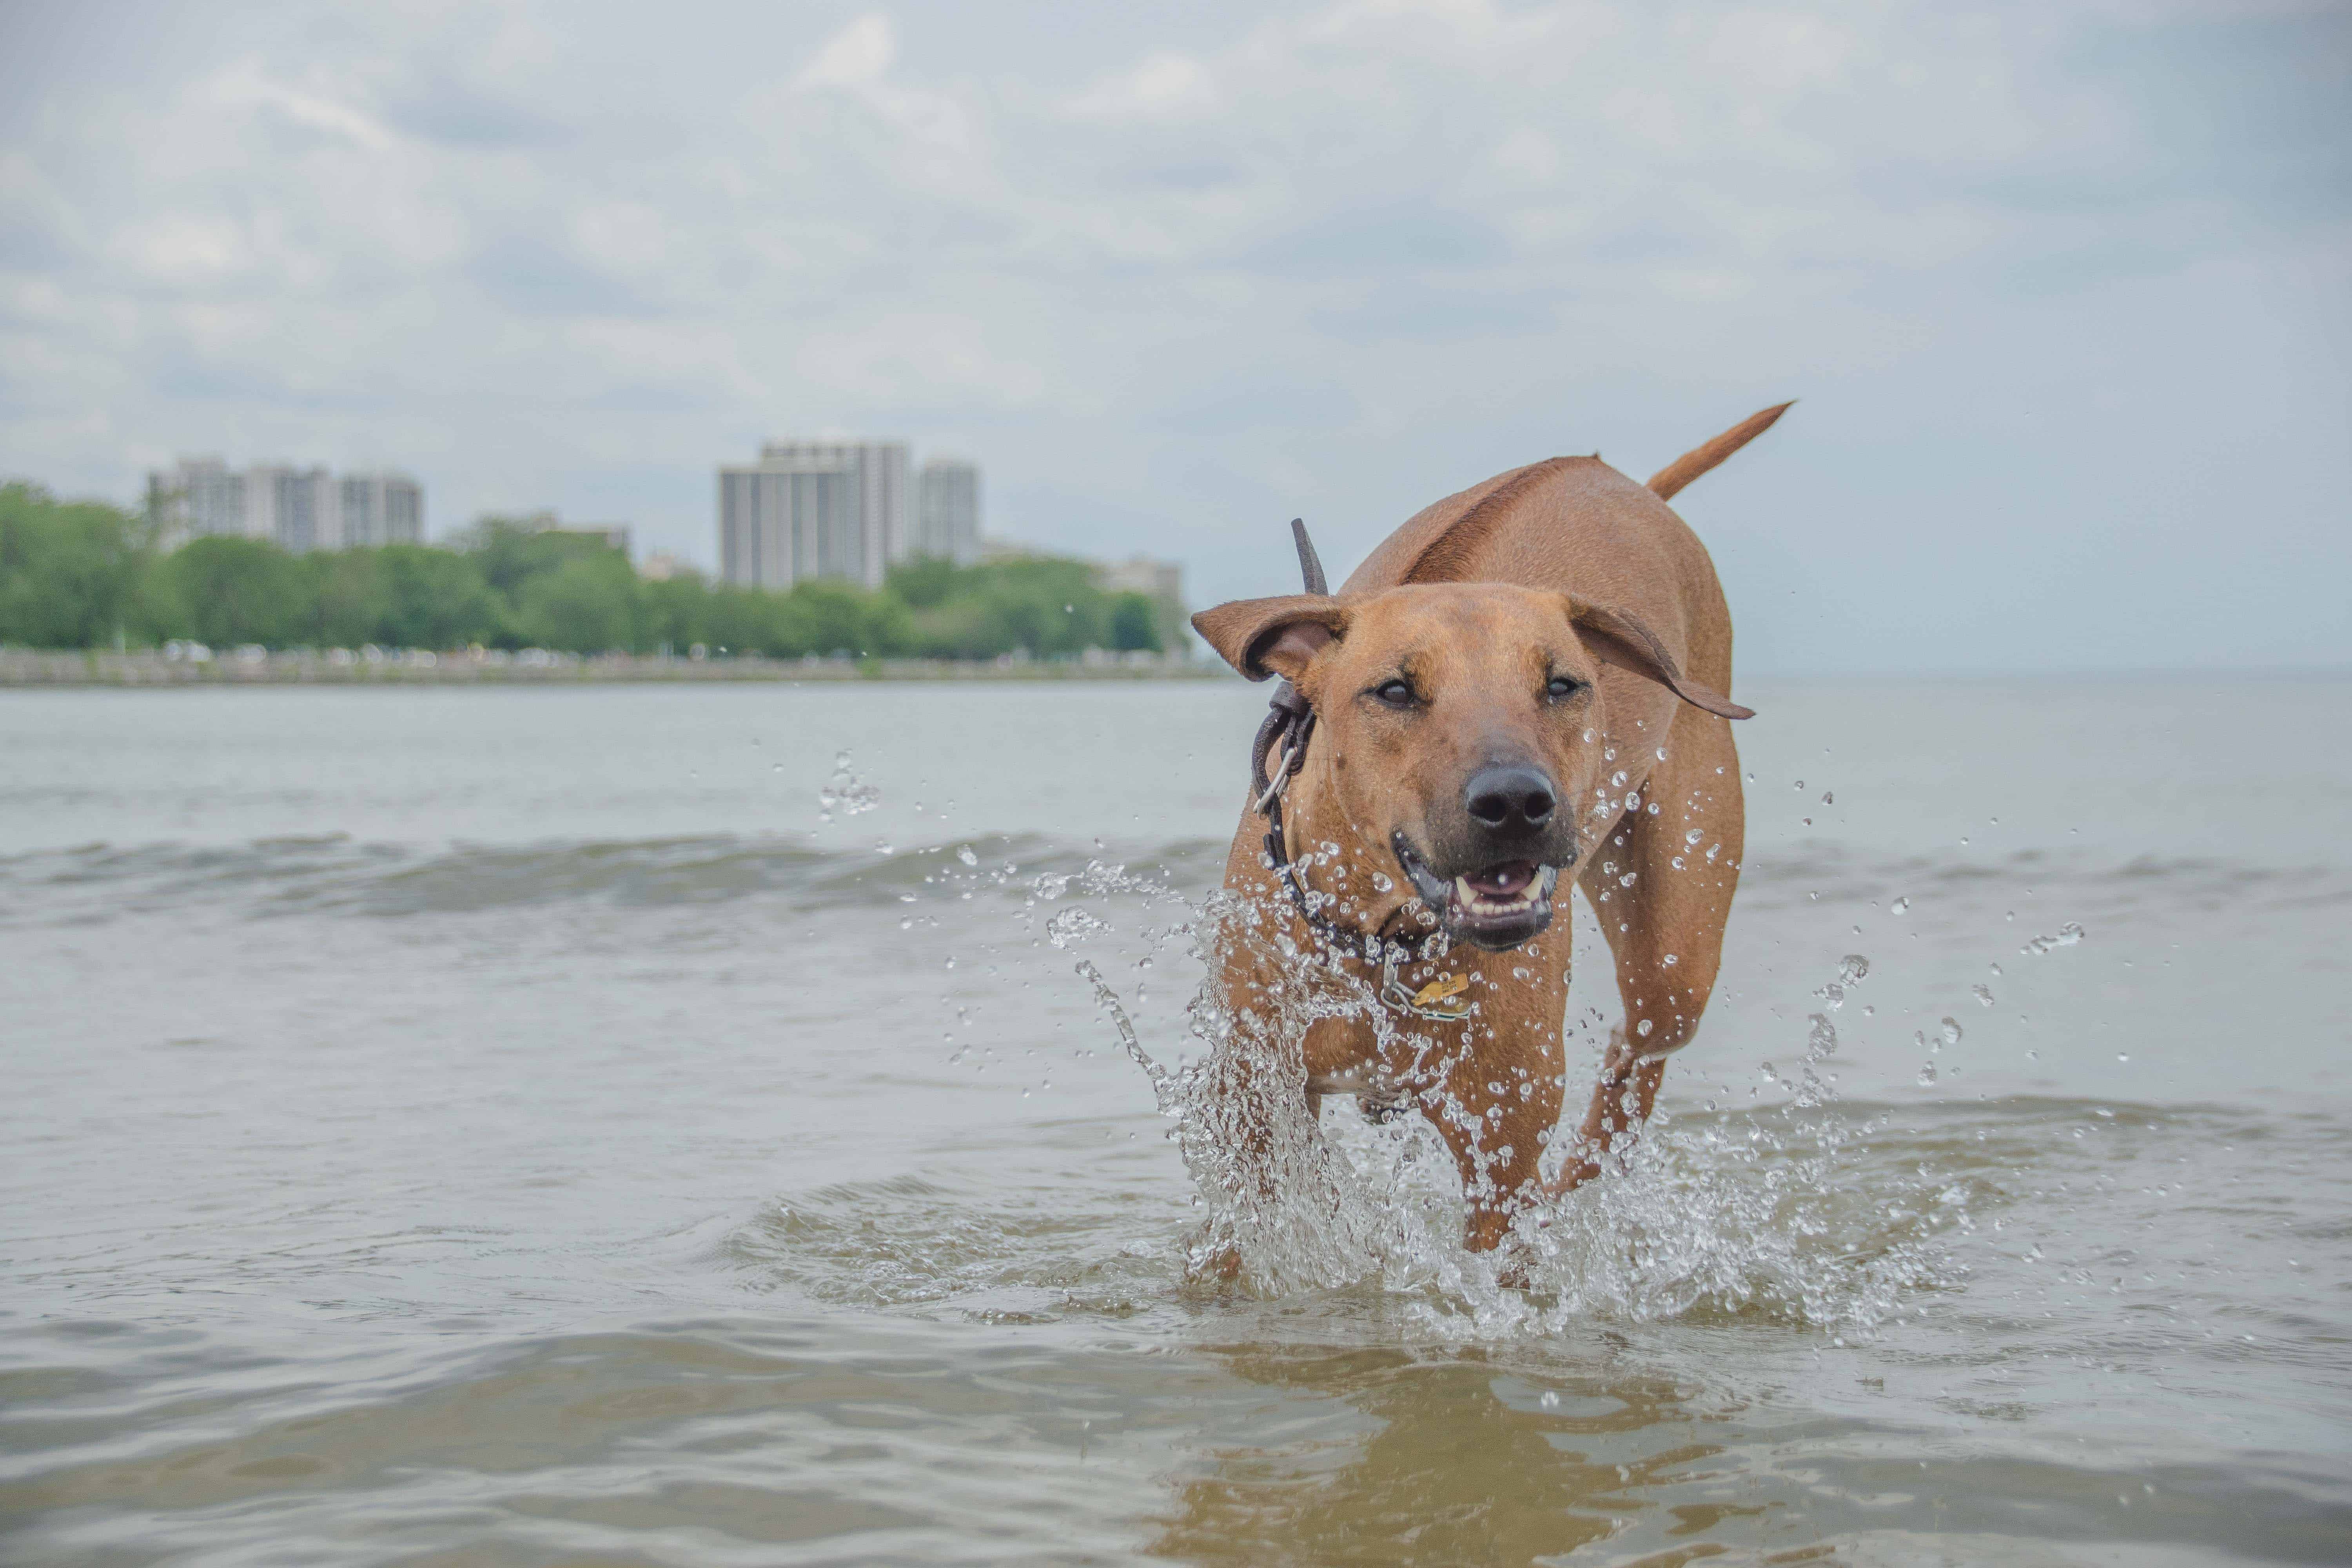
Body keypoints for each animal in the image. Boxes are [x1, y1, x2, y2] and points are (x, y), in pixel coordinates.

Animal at [1195, 409, 1778, 1260]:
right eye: (1396, 690)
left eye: (1562, 684)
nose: (1515, 802)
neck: (1387, 940)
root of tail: (1621, 478)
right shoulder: (1257, 1104)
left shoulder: (1503, 1145)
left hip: (1678, 942)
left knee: (1636, 1054)